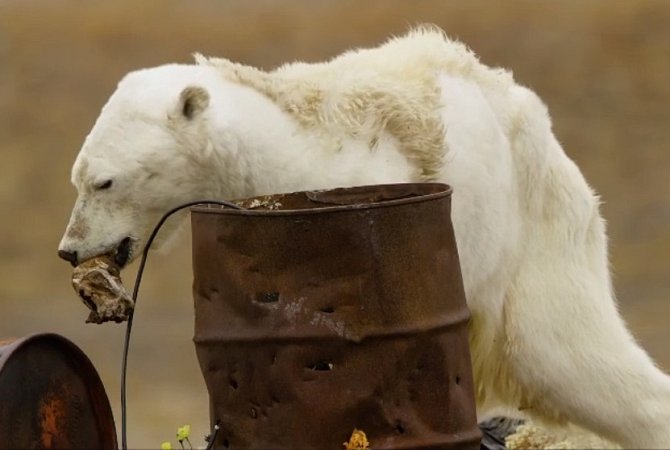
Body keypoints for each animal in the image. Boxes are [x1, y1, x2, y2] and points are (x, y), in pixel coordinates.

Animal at [59, 27, 670, 446]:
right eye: (77, 177)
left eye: (104, 181)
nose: (69, 249)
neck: (280, 146)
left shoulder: (360, 186)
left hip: (529, 237)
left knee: (570, 355)